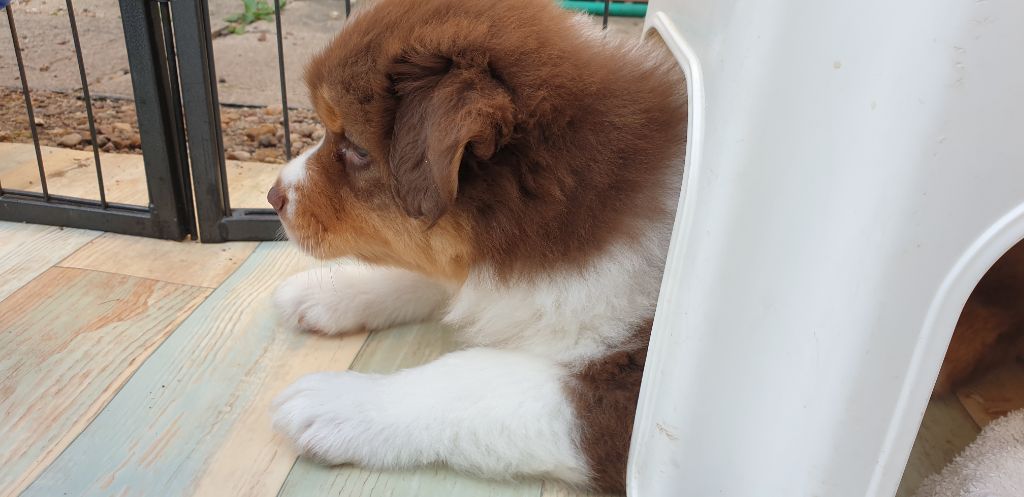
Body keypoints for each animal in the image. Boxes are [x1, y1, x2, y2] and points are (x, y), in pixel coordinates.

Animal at [267, 0, 687, 492]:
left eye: (356, 148)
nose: (273, 197)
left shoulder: (625, 400)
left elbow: (473, 378)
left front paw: (339, 401)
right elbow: (428, 277)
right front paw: (323, 291)